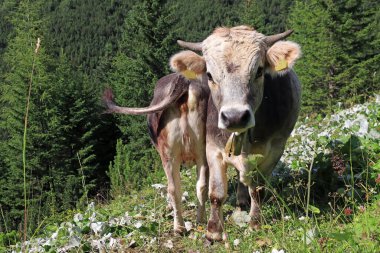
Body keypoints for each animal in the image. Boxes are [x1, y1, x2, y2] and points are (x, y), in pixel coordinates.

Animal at [103, 26, 300, 241]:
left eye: (259, 70)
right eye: (210, 75)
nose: (235, 117)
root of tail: (183, 81)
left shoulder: (276, 148)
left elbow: (257, 189)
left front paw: (253, 224)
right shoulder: (213, 149)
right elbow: (219, 192)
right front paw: (214, 230)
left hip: (174, 152)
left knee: (179, 188)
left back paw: (182, 226)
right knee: (194, 187)